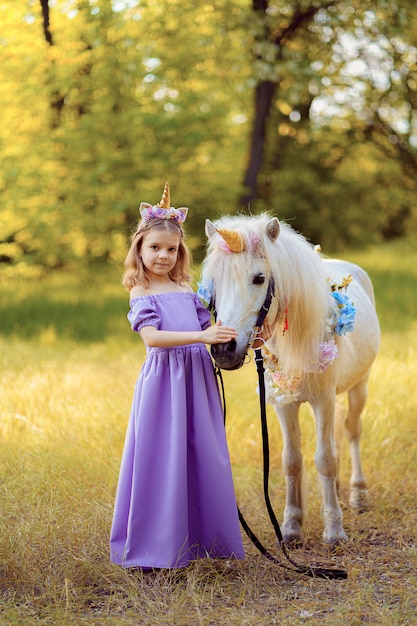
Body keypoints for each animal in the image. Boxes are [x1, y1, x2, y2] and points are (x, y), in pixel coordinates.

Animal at [200, 213, 378, 540]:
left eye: (259, 278)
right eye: (214, 281)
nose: (223, 349)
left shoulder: (322, 401)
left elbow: (325, 459)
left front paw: (334, 531)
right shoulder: (284, 405)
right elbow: (292, 461)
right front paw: (291, 526)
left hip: (360, 386)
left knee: (352, 431)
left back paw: (358, 493)